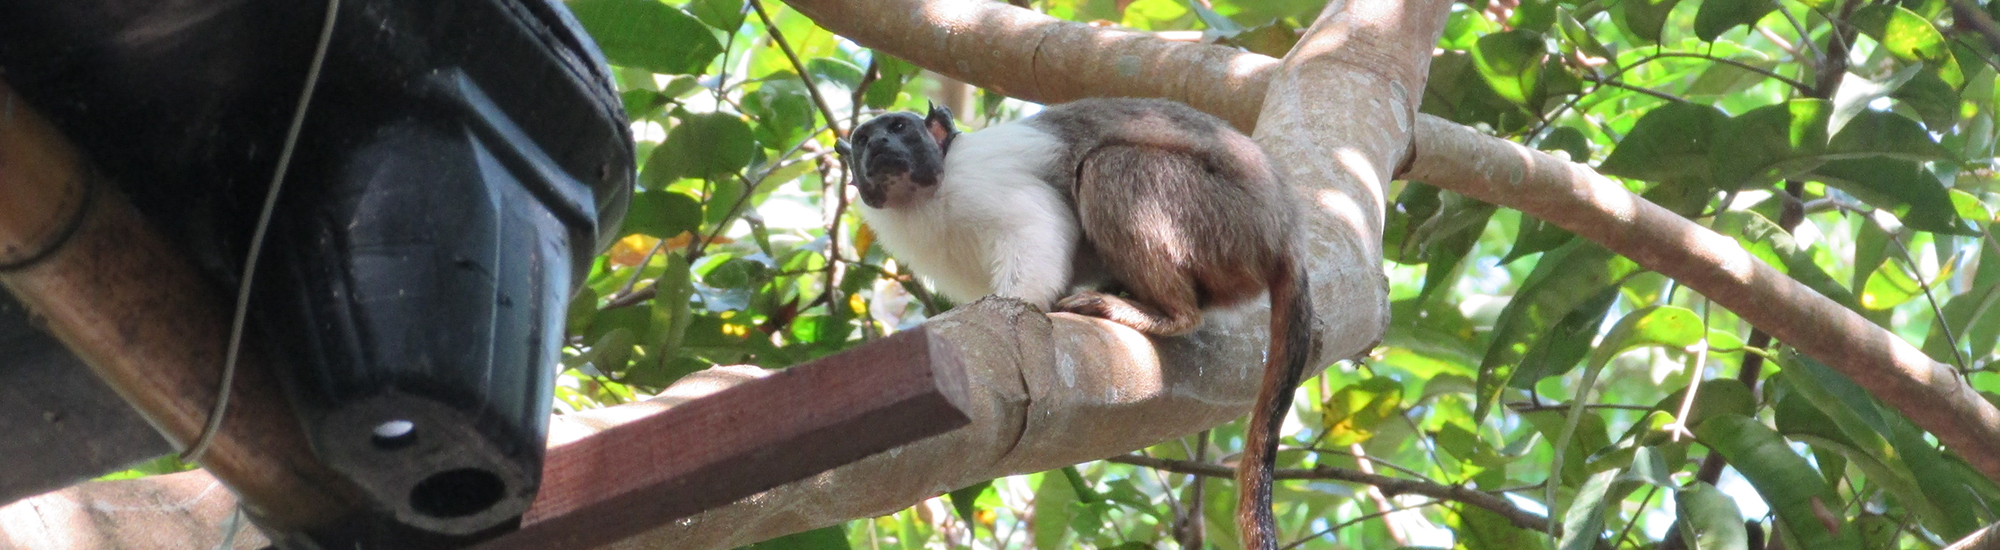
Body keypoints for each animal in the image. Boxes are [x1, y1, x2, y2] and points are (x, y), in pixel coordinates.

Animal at [844, 99, 1312, 550]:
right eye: (864, 139)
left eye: (899, 128)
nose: (880, 144)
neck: (926, 198)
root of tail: (1282, 231)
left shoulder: (980, 181)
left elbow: (1038, 228)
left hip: (1222, 218)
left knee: (1110, 165)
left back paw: (1167, 312)